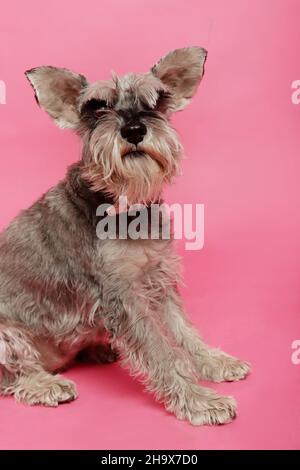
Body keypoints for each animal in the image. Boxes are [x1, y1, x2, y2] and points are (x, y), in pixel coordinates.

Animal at [0, 48, 251, 426]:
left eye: (157, 99)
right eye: (96, 108)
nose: (133, 129)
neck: (127, 206)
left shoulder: (158, 279)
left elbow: (183, 330)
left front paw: (215, 362)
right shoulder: (122, 295)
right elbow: (161, 351)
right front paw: (199, 401)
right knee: (13, 375)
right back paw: (45, 384)